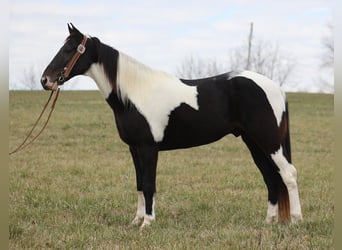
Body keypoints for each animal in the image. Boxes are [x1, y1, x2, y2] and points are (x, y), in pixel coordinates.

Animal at [40, 23, 302, 229]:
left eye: (69, 49)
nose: (45, 80)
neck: (134, 94)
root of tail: (276, 88)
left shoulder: (148, 148)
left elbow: (149, 184)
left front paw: (147, 222)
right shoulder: (134, 149)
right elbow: (139, 184)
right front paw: (136, 221)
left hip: (269, 141)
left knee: (288, 174)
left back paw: (296, 220)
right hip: (254, 142)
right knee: (271, 177)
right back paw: (268, 222)